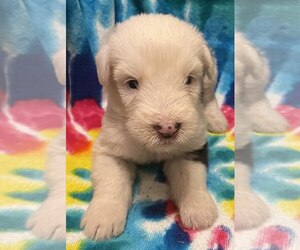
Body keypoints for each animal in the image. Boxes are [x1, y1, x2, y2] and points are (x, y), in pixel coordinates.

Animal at [81, 14, 226, 240]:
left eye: (189, 80)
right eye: (132, 83)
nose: (168, 128)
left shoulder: (191, 146)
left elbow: (191, 177)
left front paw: (198, 207)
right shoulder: (109, 148)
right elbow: (111, 180)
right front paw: (103, 217)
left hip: (211, 77)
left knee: (209, 97)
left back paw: (216, 120)